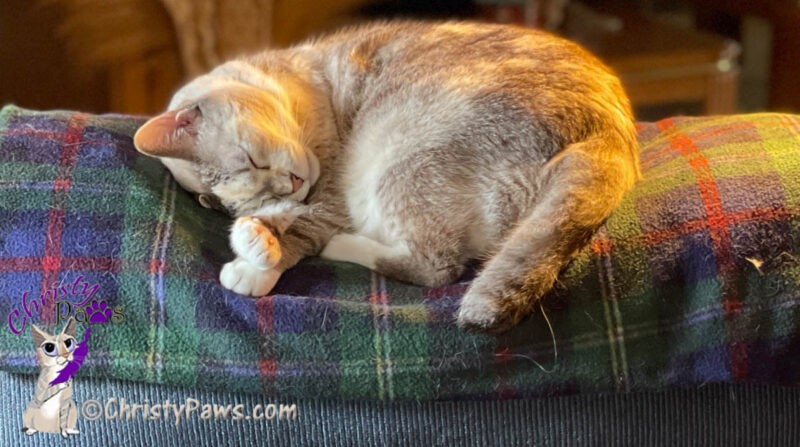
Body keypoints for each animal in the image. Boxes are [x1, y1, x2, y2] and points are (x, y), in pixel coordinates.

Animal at [134, 22, 640, 334]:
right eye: (251, 183)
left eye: (252, 159)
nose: (293, 184)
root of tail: (610, 135)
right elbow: (280, 222)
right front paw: (256, 238)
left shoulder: (330, 196)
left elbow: (298, 235)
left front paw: (253, 261)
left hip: (396, 161)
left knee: (435, 267)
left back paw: (341, 246)